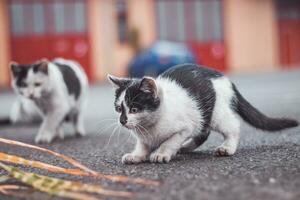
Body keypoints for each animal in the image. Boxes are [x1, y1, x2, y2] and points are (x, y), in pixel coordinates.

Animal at [107, 63, 298, 163]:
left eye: (134, 109)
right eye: (118, 109)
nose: (122, 121)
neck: (149, 127)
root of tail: (224, 78)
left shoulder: (184, 127)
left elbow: (170, 141)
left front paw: (162, 153)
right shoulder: (144, 136)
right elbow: (143, 145)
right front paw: (136, 155)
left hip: (215, 113)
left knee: (232, 126)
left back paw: (227, 148)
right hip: (203, 115)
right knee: (203, 133)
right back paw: (185, 147)